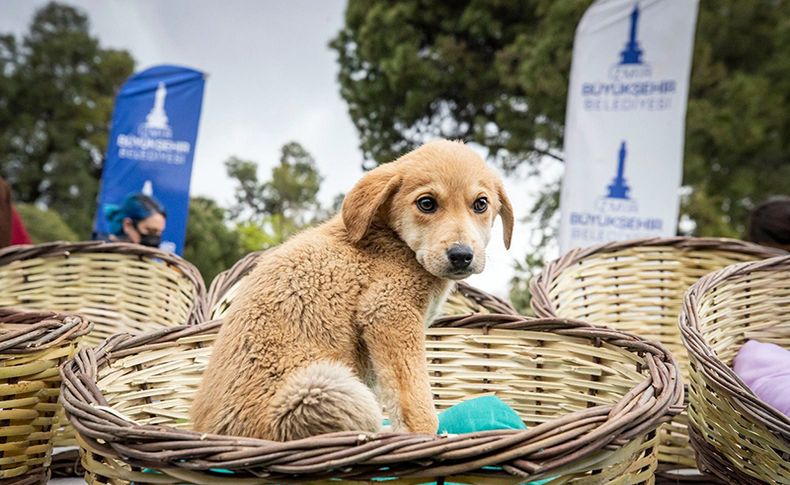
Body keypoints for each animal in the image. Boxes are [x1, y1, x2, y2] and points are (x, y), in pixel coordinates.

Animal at [191, 138, 512, 440]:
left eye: (481, 204)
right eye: (426, 204)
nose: (461, 255)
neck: (395, 241)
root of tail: (211, 432)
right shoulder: (389, 312)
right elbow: (416, 400)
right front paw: (428, 437)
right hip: (328, 389)